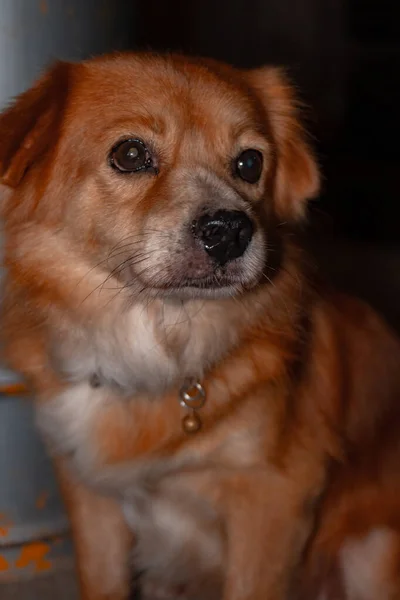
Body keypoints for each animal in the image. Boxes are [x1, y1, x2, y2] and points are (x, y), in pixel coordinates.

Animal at [0, 52, 398, 600]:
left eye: (249, 163)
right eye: (129, 154)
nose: (230, 231)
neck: (158, 347)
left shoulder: (273, 497)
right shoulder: (89, 495)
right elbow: (102, 581)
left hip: (372, 551)